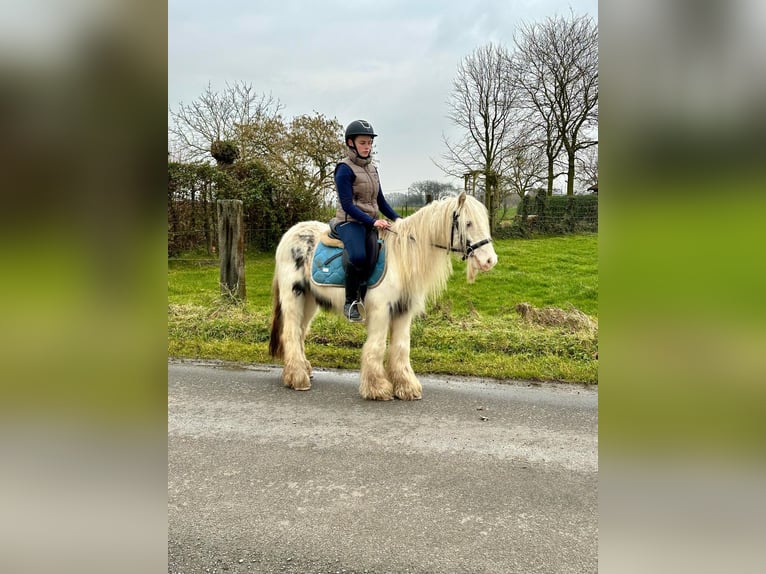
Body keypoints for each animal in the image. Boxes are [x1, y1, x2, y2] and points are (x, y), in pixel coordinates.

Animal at [270, 191, 498, 402]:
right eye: (468, 223)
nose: (490, 261)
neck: (401, 258)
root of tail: (291, 234)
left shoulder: (403, 311)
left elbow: (401, 347)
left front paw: (406, 387)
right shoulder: (381, 310)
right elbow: (377, 347)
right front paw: (377, 388)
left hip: (309, 301)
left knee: (300, 332)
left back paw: (301, 369)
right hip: (294, 297)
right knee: (291, 333)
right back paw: (297, 378)